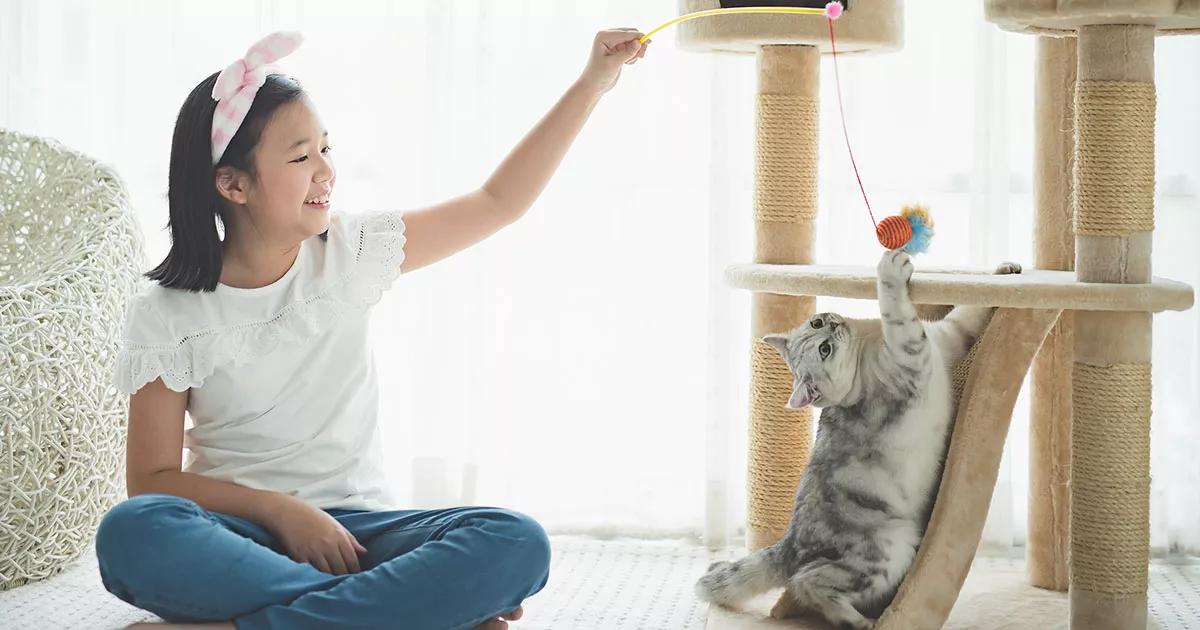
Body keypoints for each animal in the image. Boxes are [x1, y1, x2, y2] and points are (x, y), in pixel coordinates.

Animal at [696, 249, 1022, 628]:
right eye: (824, 349)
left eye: (816, 325)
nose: (833, 324)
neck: (869, 340)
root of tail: (789, 543)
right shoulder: (912, 351)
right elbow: (896, 312)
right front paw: (891, 270)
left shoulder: (947, 337)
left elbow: (969, 311)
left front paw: (1004, 270)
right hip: (886, 550)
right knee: (807, 583)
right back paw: (862, 621)